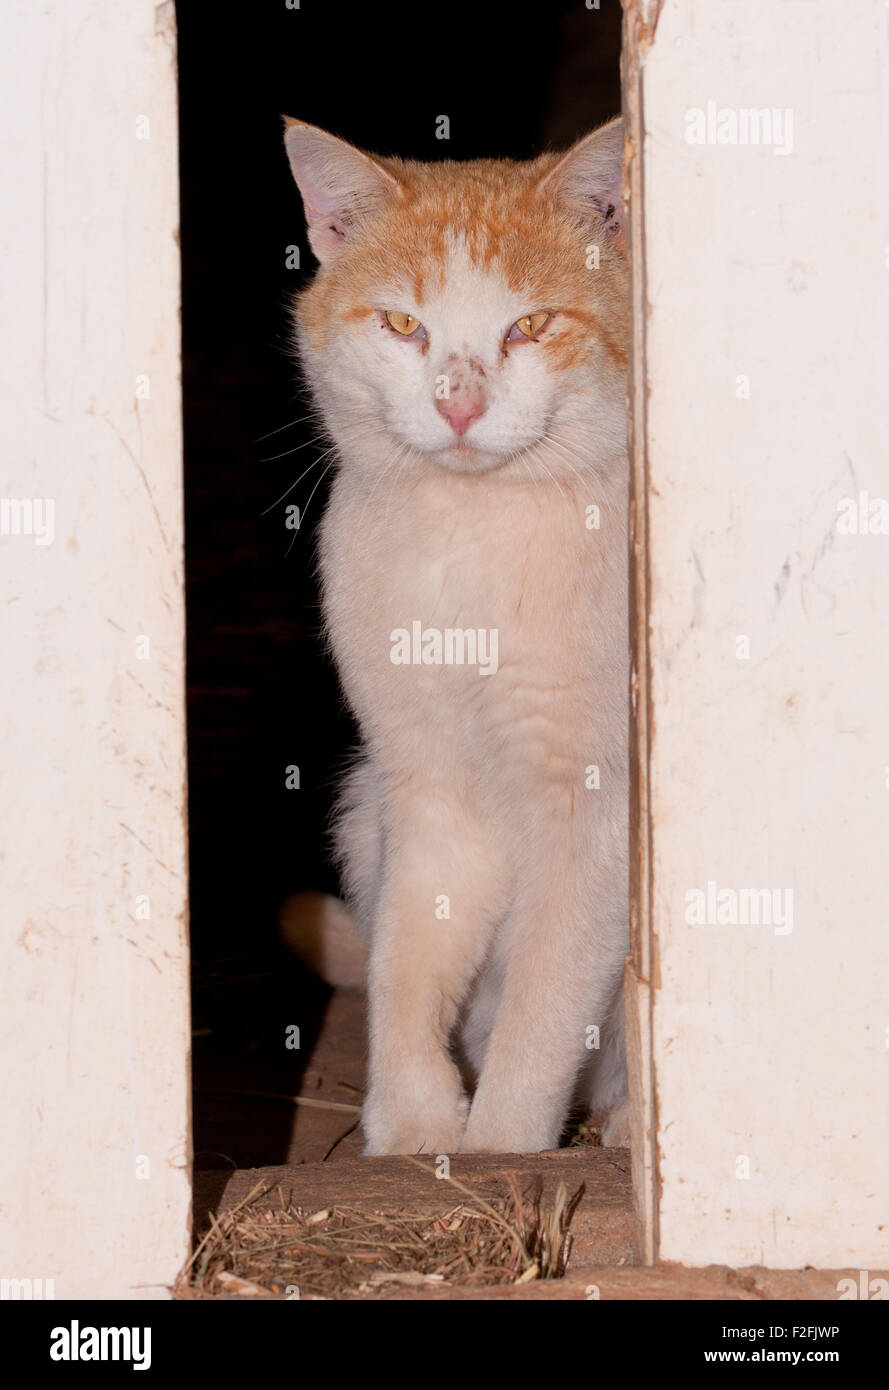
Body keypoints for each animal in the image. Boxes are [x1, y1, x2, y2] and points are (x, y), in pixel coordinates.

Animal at [280, 116, 627, 1150]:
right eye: (404, 327)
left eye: (530, 326)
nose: (459, 403)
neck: (468, 537)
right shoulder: (421, 786)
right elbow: (406, 960)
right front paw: (411, 1125)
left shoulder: (594, 813)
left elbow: (547, 1001)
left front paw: (502, 1147)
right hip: (360, 810)